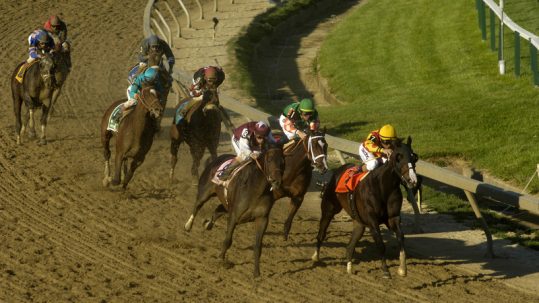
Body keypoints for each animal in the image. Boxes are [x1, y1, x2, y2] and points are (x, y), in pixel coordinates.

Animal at [185, 144, 286, 280]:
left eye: (283, 162)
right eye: (269, 160)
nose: (276, 181)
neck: (256, 190)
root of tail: (216, 160)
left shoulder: (262, 219)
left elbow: (258, 247)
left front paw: (257, 273)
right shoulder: (234, 216)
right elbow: (228, 240)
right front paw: (220, 259)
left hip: (226, 203)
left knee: (218, 210)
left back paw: (207, 224)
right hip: (205, 192)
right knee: (197, 206)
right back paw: (188, 225)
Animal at [312, 138, 422, 280]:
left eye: (414, 157)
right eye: (399, 157)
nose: (412, 180)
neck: (383, 187)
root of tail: (339, 170)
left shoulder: (393, 218)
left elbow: (401, 238)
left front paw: (402, 269)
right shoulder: (372, 220)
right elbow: (380, 244)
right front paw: (386, 270)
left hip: (359, 221)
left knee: (351, 245)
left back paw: (349, 267)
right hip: (329, 208)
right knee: (322, 232)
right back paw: (316, 256)